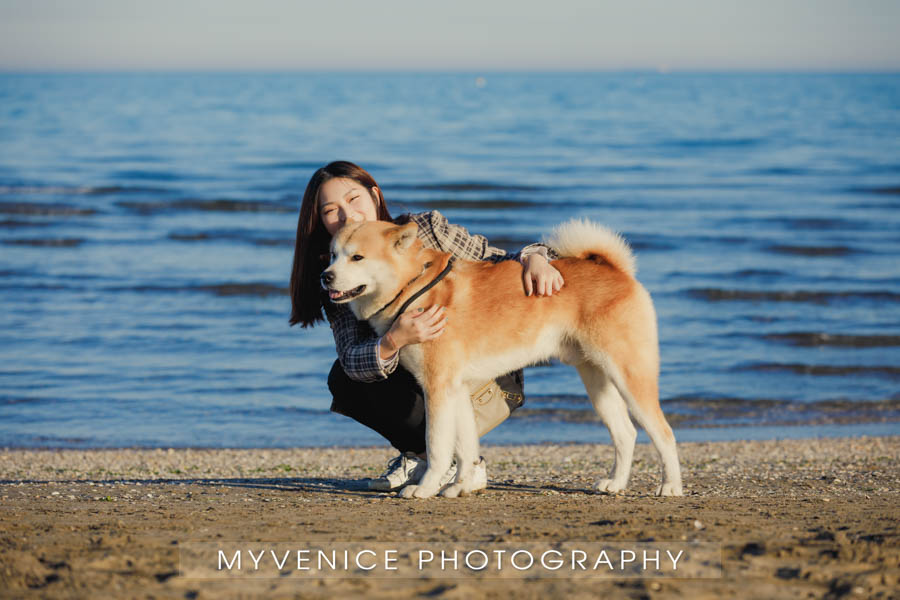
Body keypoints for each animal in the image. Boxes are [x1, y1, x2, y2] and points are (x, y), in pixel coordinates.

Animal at [324, 218, 684, 500]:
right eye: (333, 254)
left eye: (357, 257)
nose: (325, 276)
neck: (414, 286)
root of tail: (616, 271)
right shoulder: (456, 390)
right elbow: (465, 448)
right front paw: (460, 486)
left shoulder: (438, 388)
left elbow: (438, 446)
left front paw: (425, 488)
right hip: (597, 381)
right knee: (626, 433)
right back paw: (616, 483)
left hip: (629, 376)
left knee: (663, 433)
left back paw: (670, 486)